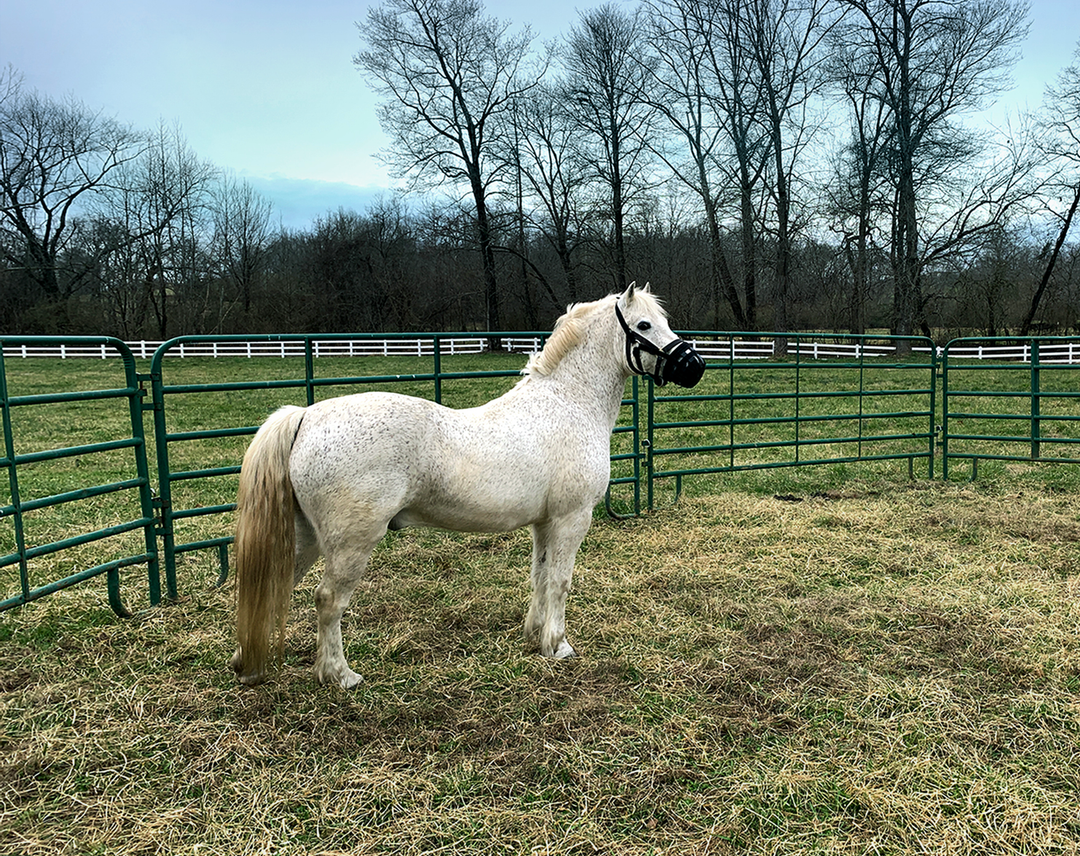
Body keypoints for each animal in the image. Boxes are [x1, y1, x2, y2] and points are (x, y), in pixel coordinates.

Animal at [231, 282, 705, 688]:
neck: (567, 404)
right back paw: (339, 675)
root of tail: (306, 417)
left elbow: (539, 576)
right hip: (351, 543)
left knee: (272, 588)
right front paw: (558, 646)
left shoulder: (544, 523)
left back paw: (247, 665)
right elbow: (560, 581)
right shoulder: (573, 518)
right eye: (644, 326)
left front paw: (534, 636)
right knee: (328, 600)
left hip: (304, 536)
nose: (695, 366)